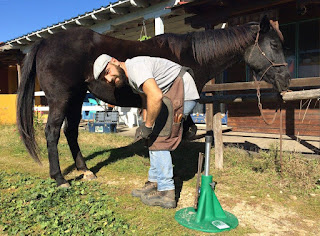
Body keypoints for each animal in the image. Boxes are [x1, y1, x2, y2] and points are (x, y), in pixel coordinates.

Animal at [18, 15, 292, 187]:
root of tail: (45, 41)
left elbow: (186, 131)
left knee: (72, 131)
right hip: (61, 98)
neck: (192, 56)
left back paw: (85, 170)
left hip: (75, 99)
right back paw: (60, 179)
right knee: (53, 132)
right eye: (274, 44)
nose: (286, 80)